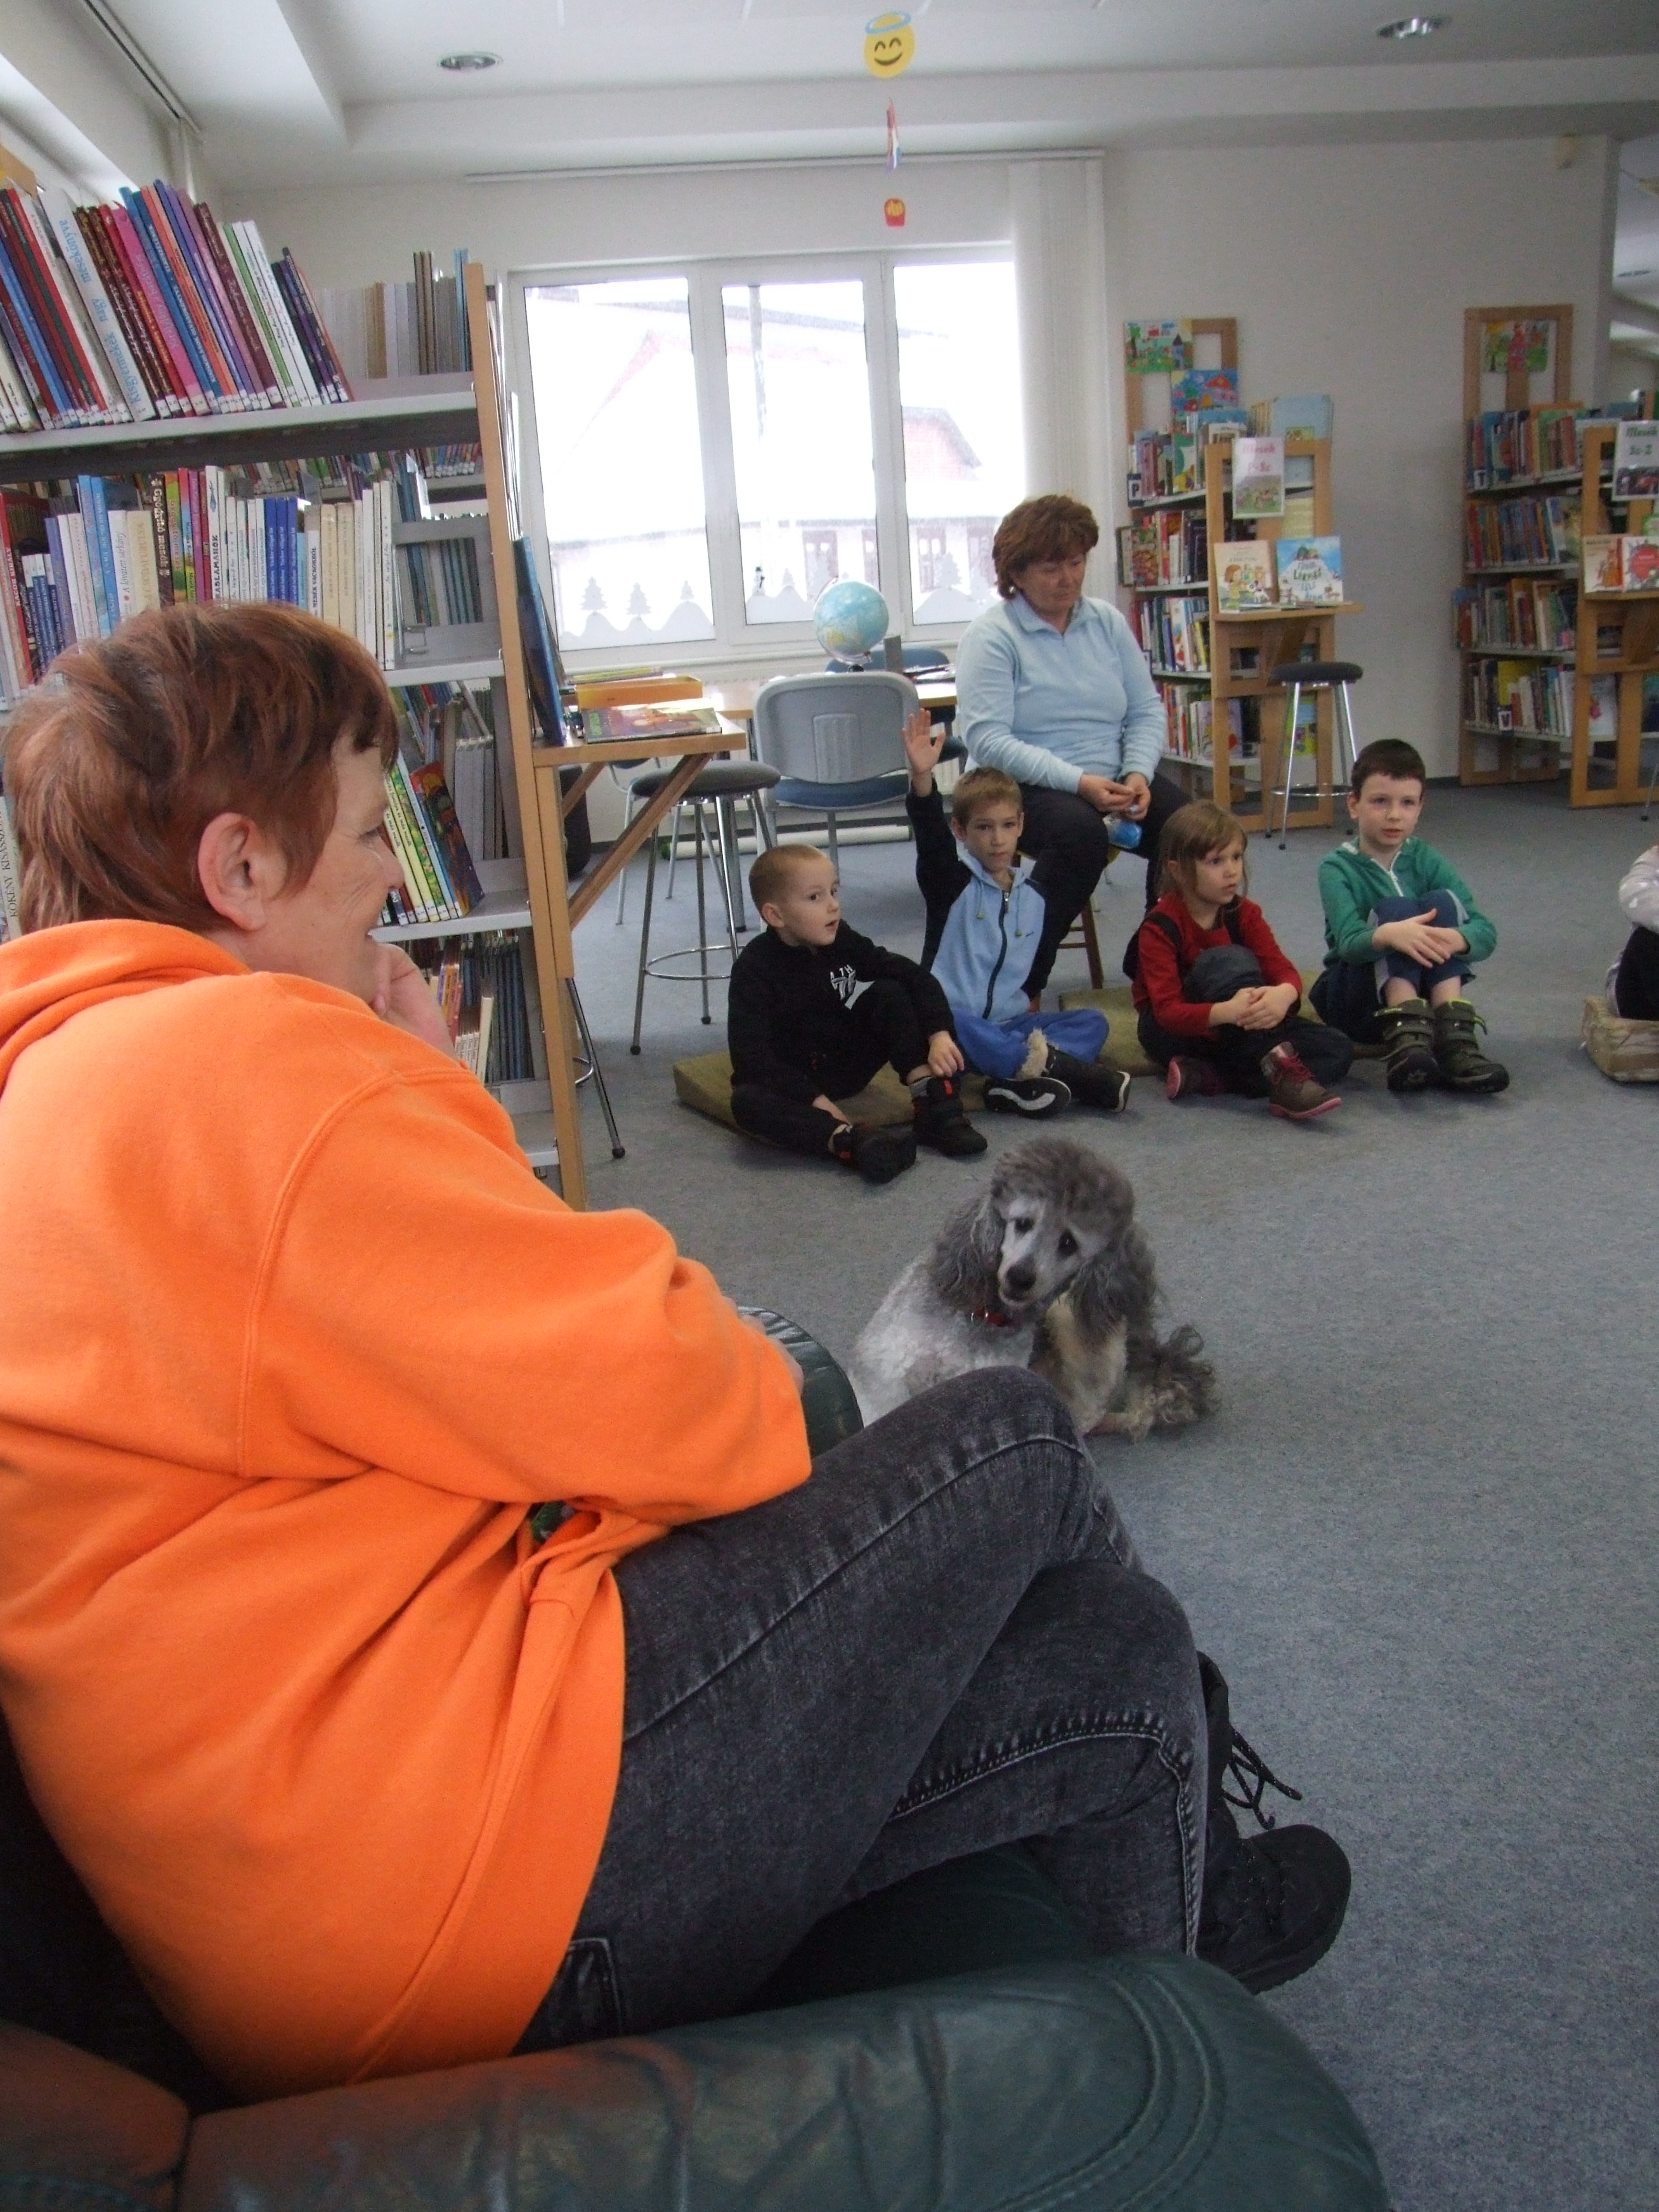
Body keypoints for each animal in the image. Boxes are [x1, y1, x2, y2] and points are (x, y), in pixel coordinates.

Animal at [851, 1135, 1215, 1440]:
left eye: (1068, 1244)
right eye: (1023, 1223)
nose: (1020, 1278)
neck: (982, 1315)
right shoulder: (883, 1375)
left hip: (1072, 1325)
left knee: (1091, 1413)